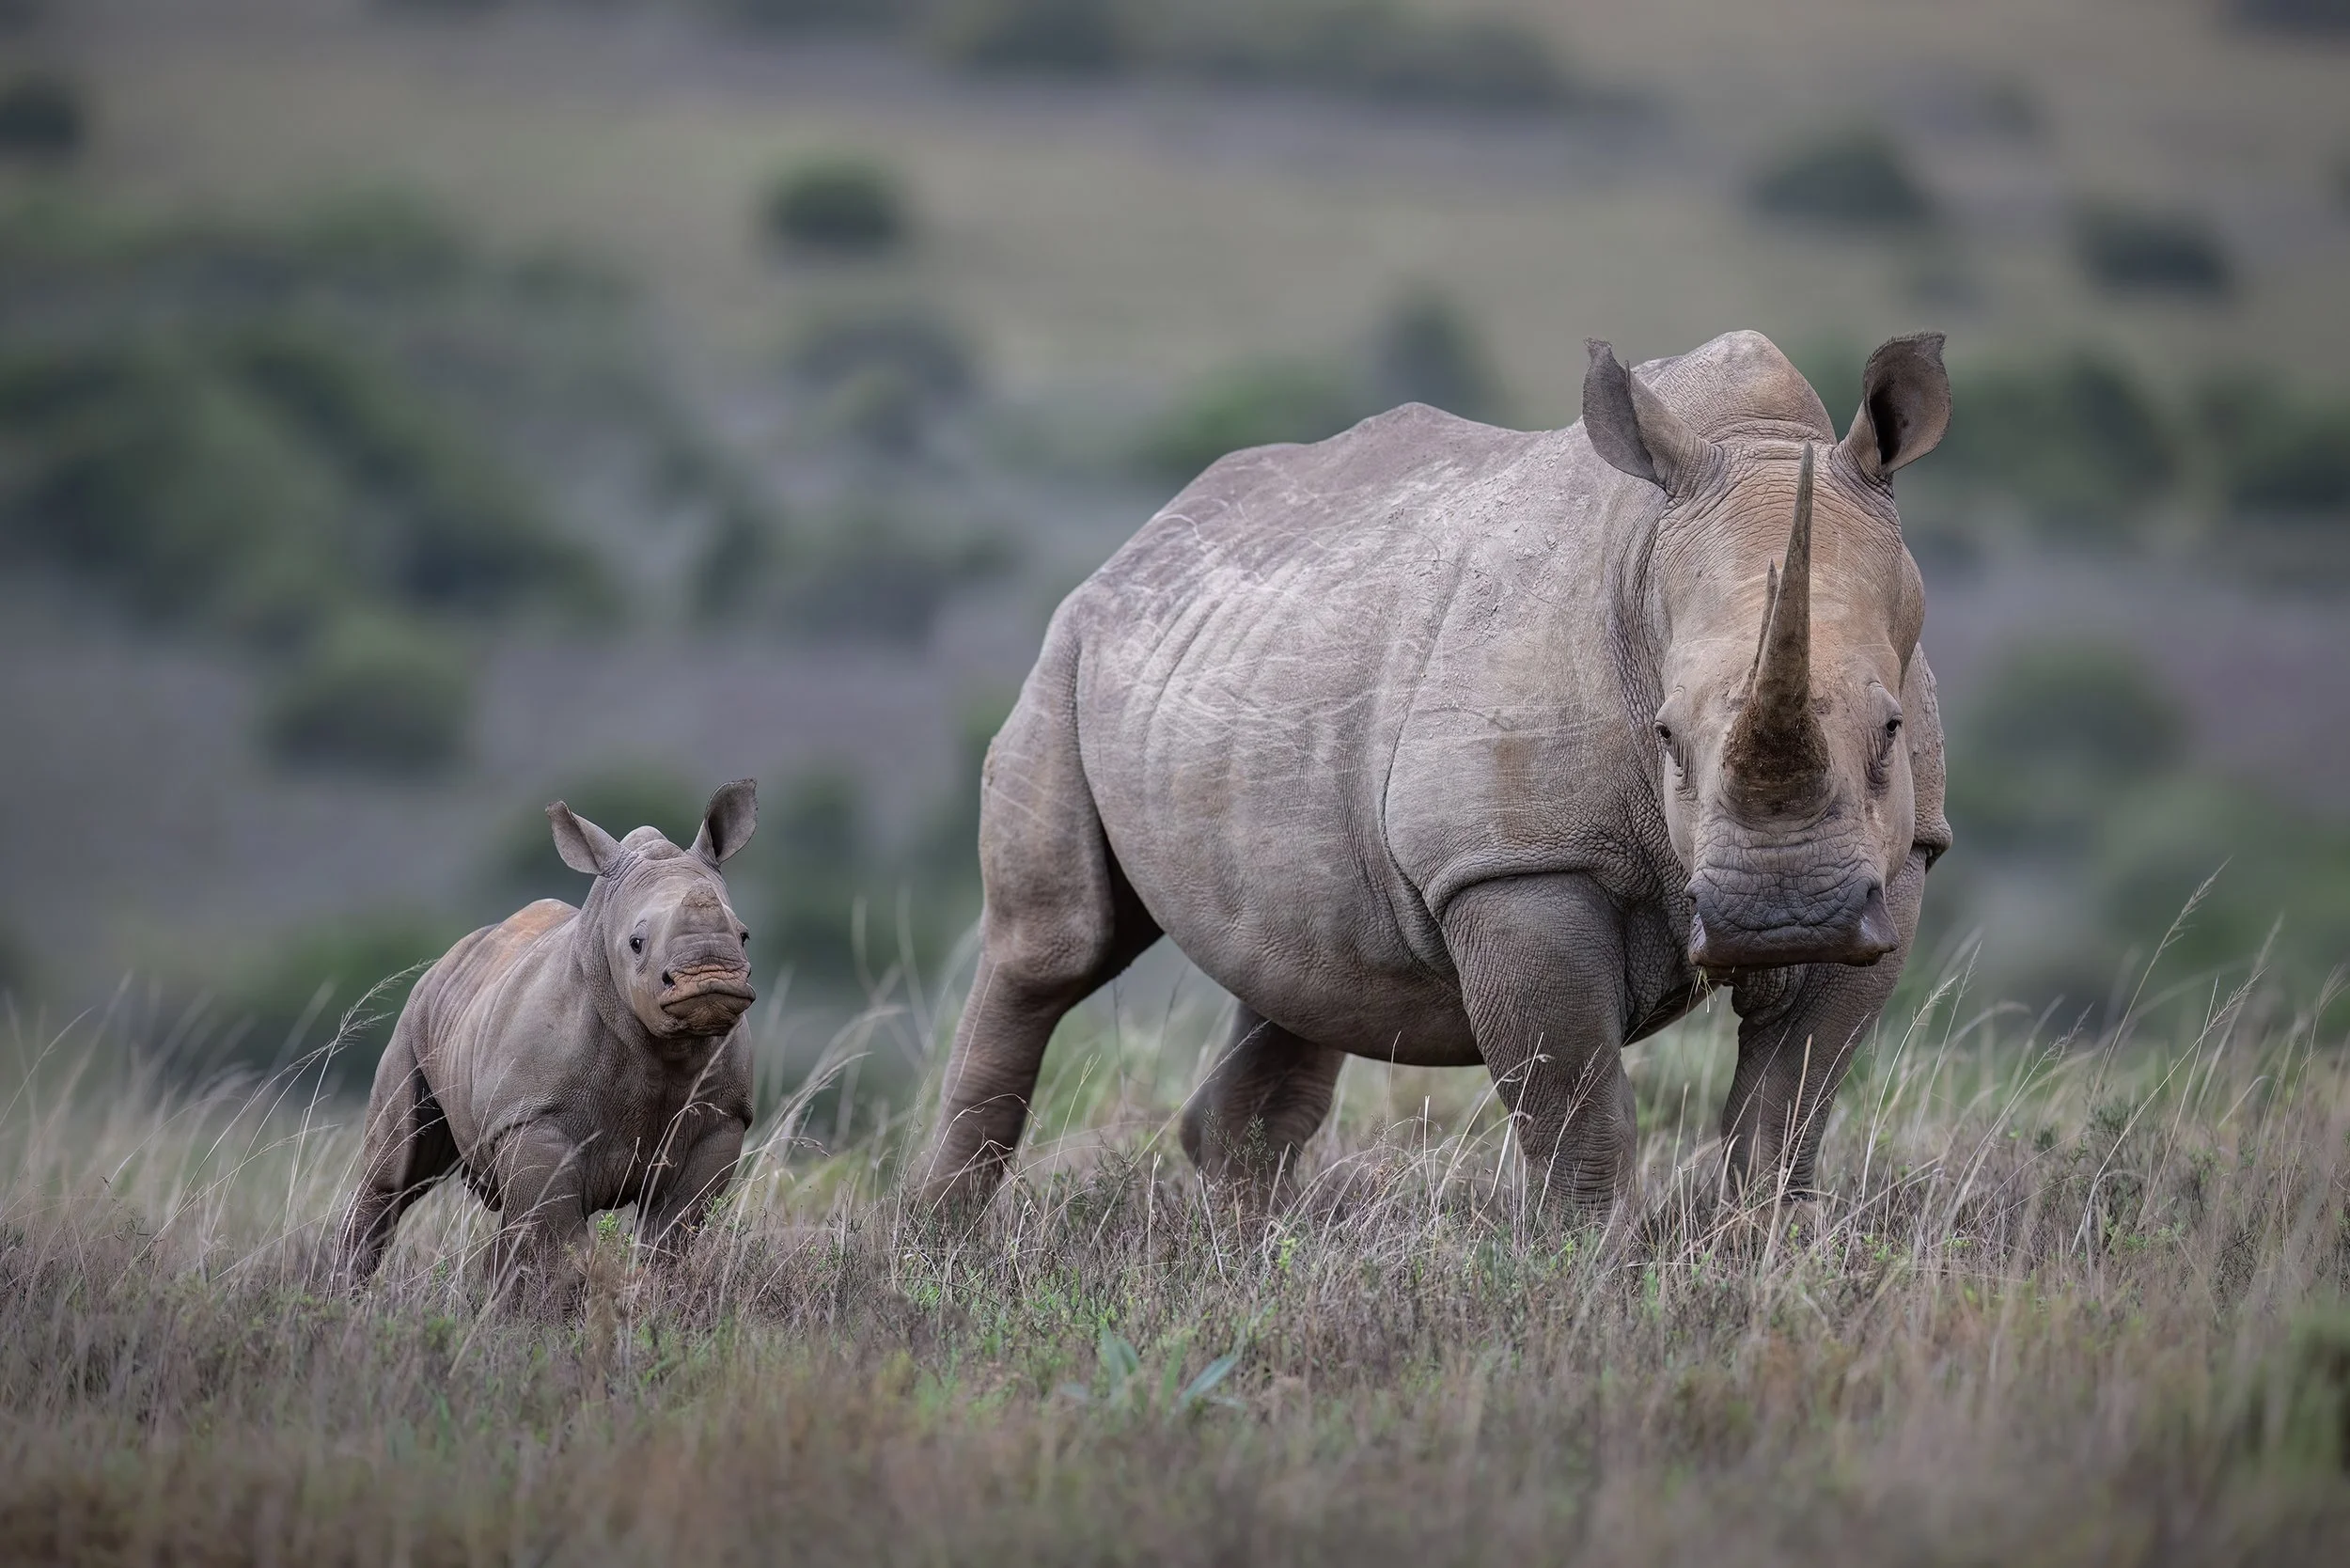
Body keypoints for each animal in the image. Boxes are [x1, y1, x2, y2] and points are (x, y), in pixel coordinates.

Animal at [339, 782, 760, 1296]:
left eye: (743, 935)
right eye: (636, 943)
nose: (710, 978)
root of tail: (452, 956)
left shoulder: (723, 1118)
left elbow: (671, 1234)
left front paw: (650, 1289)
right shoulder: (534, 1115)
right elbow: (560, 1240)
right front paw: (575, 1297)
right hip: (415, 1018)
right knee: (392, 1175)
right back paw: (342, 1292)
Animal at [923, 330, 1952, 1214]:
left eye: (1891, 728)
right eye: (1665, 737)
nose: (1782, 919)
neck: (1756, 445)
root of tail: (1139, 539)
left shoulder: (1897, 863)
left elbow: (1784, 1116)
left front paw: (1761, 1250)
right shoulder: (1513, 862)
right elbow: (1582, 1122)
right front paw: (1592, 1277)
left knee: (1303, 979)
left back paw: (1247, 1266)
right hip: (1069, 649)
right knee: (1054, 948)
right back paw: (942, 1250)